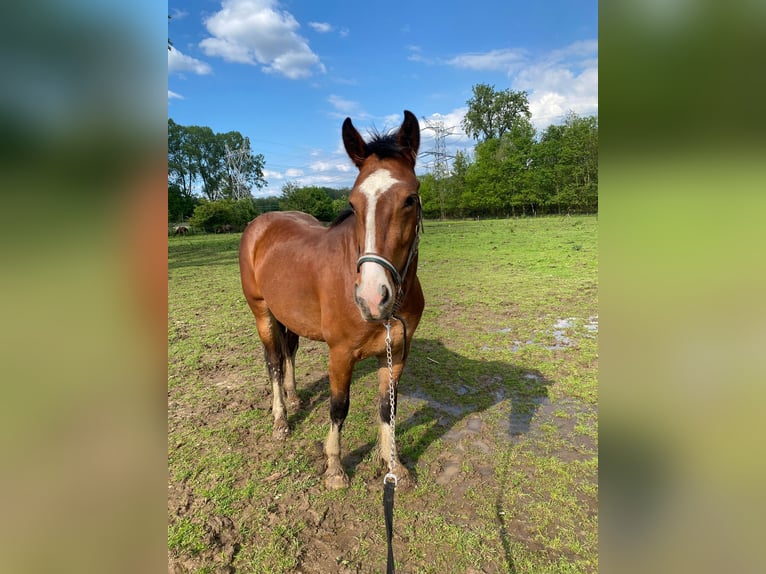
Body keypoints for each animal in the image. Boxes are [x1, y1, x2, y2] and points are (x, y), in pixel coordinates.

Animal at [238, 111, 426, 490]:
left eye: (410, 199)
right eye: (353, 203)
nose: (372, 297)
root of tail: (259, 225)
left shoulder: (397, 351)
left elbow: (388, 407)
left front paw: (394, 466)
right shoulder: (340, 354)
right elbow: (339, 407)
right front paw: (335, 469)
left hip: (288, 316)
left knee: (289, 352)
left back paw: (295, 398)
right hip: (262, 312)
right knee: (273, 362)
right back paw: (281, 420)